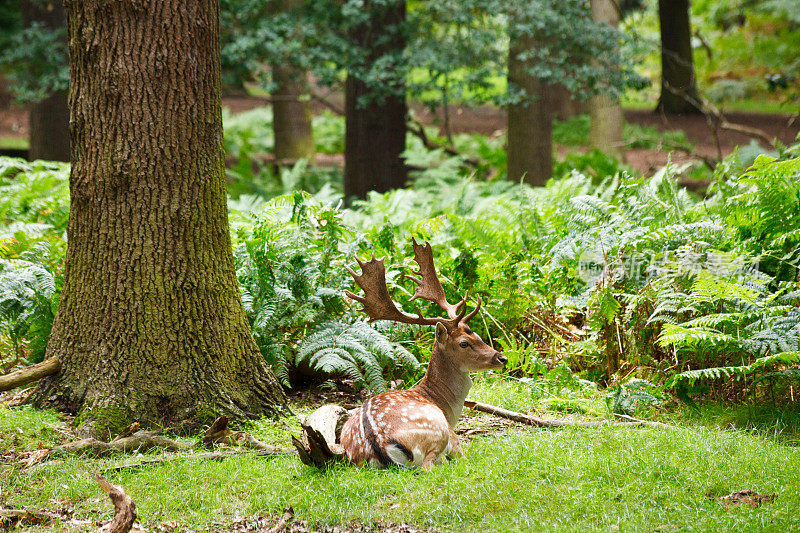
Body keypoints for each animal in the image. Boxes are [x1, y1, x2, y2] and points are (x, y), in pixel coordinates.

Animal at [320, 239, 504, 468]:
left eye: (478, 335)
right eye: (464, 343)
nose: (501, 358)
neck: (441, 402)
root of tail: (379, 444)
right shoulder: (454, 438)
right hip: (437, 431)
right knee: (428, 466)